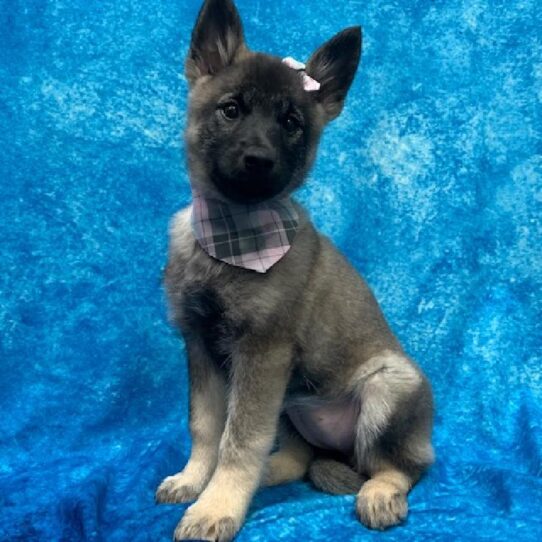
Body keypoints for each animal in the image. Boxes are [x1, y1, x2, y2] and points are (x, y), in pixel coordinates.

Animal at [156, 1, 434, 540]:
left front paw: (216, 505)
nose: (259, 160)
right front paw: (195, 479)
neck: (232, 235)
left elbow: (240, 439)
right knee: (301, 455)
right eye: (231, 110)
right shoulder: (200, 345)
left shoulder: (262, 353)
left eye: (291, 122)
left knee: (402, 466)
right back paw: (274, 472)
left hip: (390, 385)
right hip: (292, 398)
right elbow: (206, 425)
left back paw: (381, 493)